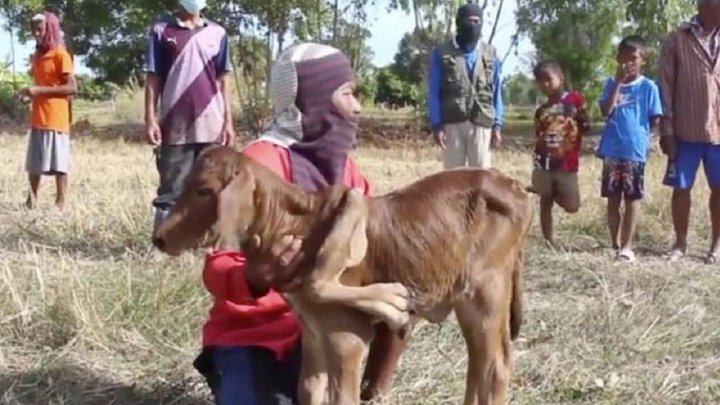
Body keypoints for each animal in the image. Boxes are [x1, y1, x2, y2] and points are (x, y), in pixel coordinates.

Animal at [153, 145, 536, 404]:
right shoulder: (313, 334)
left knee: (496, 365)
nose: (160, 238)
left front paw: (393, 303)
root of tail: (515, 188)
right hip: (469, 301)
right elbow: (309, 389)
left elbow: (343, 396)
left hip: (487, 290)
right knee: (478, 362)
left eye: (204, 190)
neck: (297, 225)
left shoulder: (345, 337)